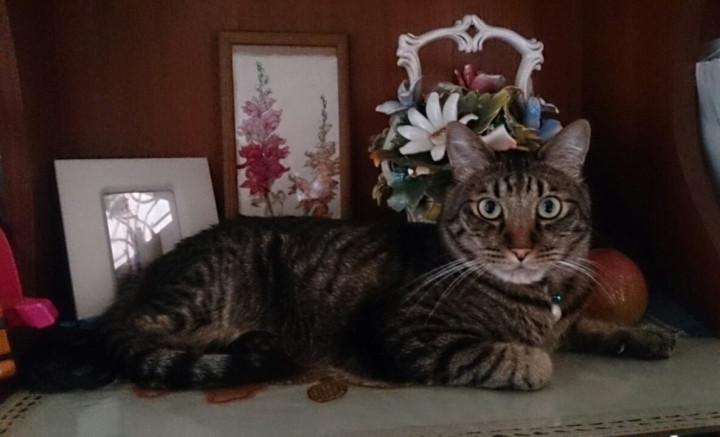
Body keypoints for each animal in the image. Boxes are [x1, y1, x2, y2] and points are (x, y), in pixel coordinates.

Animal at [30, 120, 675, 392]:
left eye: (549, 207)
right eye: (491, 208)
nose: (520, 250)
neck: (540, 299)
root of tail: (139, 279)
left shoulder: (568, 316)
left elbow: (590, 326)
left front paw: (645, 334)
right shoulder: (407, 335)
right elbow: (512, 357)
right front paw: (531, 359)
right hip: (204, 293)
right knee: (135, 336)